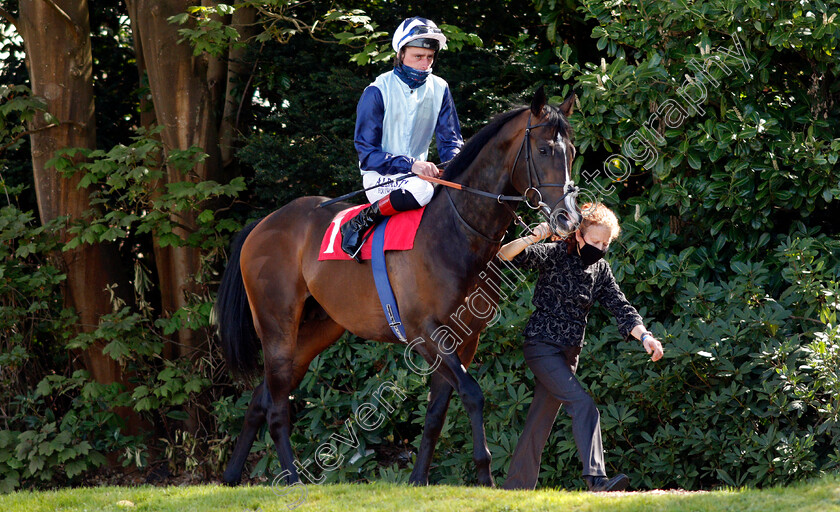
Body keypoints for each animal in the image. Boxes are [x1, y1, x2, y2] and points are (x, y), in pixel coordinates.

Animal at [220, 88, 580, 488]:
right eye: (545, 150)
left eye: (572, 152)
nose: (569, 218)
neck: (456, 231)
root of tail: (262, 224)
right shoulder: (425, 333)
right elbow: (472, 393)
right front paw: (484, 475)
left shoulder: (465, 338)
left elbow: (437, 412)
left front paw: (419, 479)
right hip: (277, 326)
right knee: (277, 407)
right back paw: (293, 481)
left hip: (317, 330)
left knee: (261, 397)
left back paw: (231, 476)